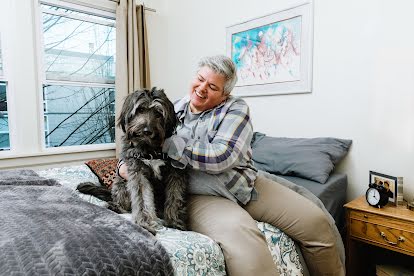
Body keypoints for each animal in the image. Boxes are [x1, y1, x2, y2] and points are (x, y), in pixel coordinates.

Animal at [77, 87, 188, 234]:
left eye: (158, 113)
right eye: (140, 110)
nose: (147, 130)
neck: (150, 149)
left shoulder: (175, 173)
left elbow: (175, 196)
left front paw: (174, 222)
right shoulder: (137, 172)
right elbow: (142, 199)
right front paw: (146, 224)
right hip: (121, 183)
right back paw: (116, 207)